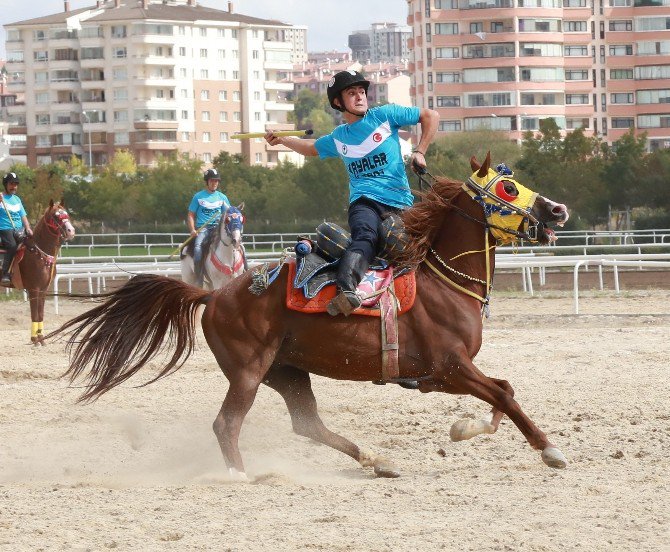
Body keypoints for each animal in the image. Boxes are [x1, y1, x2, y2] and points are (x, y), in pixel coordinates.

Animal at [10, 201, 75, 342]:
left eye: (66, 213)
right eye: (55, 216)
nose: (71, 230)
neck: (37, 253)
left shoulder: (43, 290)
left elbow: (40, 314)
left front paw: (41, 338)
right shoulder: (34, 289)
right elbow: (34, 314)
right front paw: (35, 339)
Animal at [48, 155, 572, 478]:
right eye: (509, 187)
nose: (558, 210)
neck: (441, 284)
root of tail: (213, 297)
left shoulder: (440, 376)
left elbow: (504, 391)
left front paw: (466, 429)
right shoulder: (449, 367)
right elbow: (505, 396)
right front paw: (549, 449)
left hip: (288, 371)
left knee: (307, 425)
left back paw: (376, 459)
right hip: (249, 372)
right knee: (227, 425)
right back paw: (239, 475)